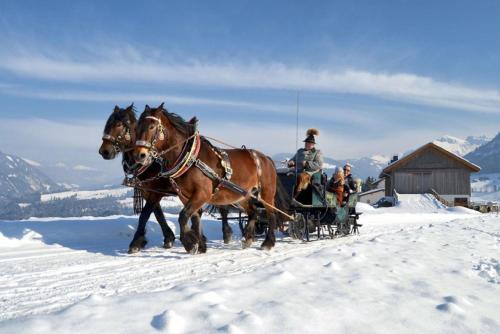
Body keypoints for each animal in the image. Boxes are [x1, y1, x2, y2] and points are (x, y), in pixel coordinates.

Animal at [134, 103, 282, 253]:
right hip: (241, 196)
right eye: (136, 128)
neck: (190, 158)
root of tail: (266, 158)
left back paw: (268, 242)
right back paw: (247, 238)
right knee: (254, 212)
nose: (140, 155)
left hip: (266, 193)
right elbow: (195, 218)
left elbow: (183, 216)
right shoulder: (185, 196)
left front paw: (189, 242)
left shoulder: (202, 194)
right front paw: (200, 245)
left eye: (152, 126)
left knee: (271, 214)